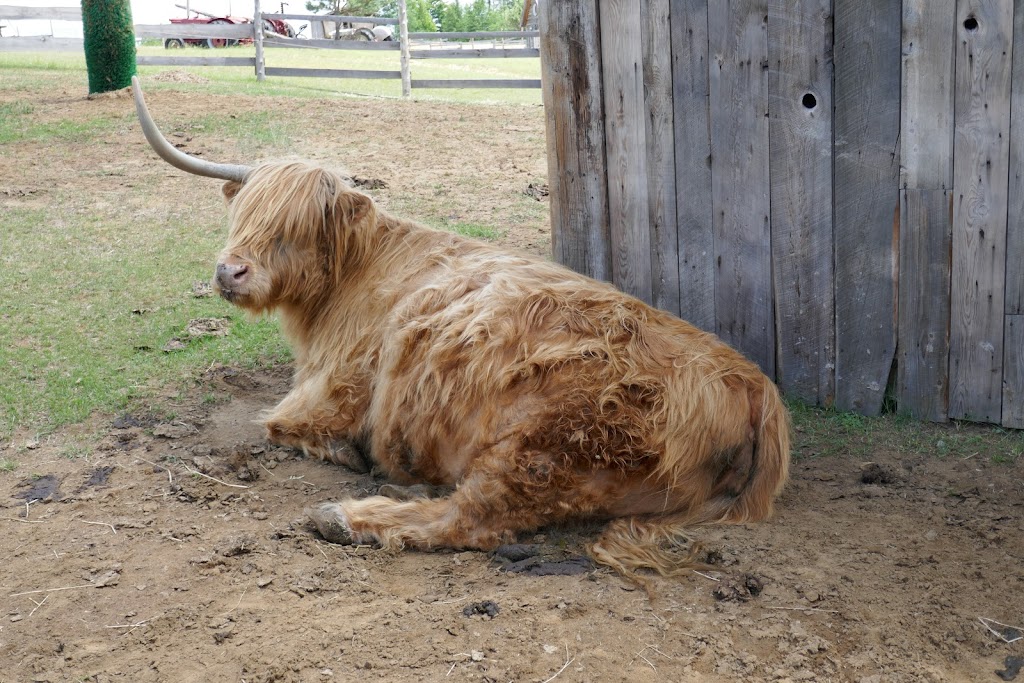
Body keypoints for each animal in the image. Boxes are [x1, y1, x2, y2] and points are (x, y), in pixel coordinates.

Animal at [132, 77, 790, 581]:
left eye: (292, 230)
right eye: (242, 215)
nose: (229, 271)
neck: (349, 280)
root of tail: (756, 390)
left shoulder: (330, 393)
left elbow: (277, 423)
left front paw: (346, 455)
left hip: (546, 447)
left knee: (475, 519)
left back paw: (348, 515)